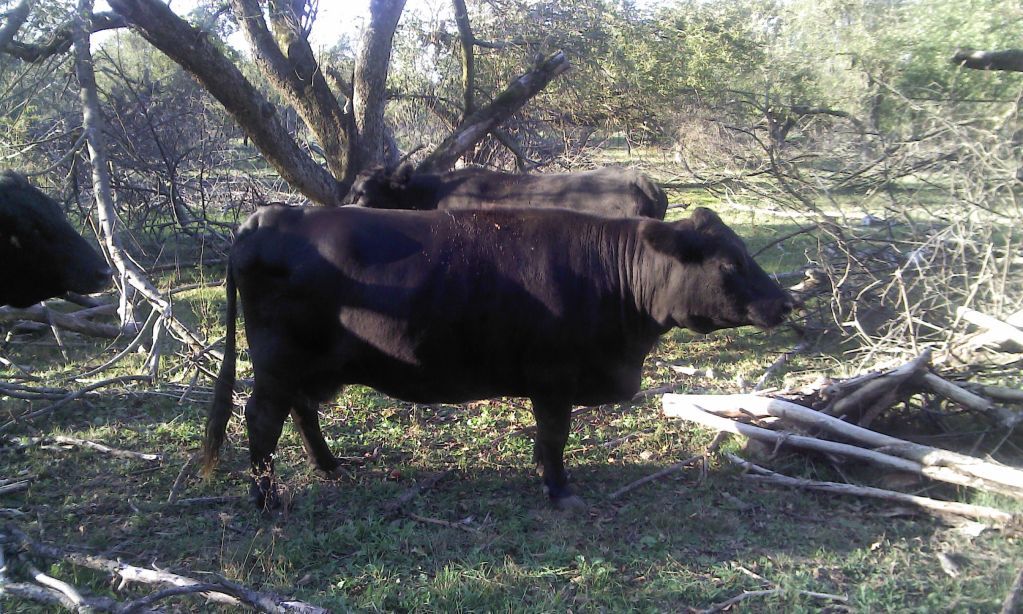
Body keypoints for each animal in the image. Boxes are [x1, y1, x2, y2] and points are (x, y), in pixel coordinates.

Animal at [203, 205, 792, 511]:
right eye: (730, 262)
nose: (787, 302)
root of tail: (269, 216)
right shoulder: (554, 377)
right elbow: (554, 436)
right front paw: (559, 490)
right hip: (280, 363)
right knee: (262, 419)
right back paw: (266, 499)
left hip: (307, 367)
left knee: (301, 411)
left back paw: (329, 466)